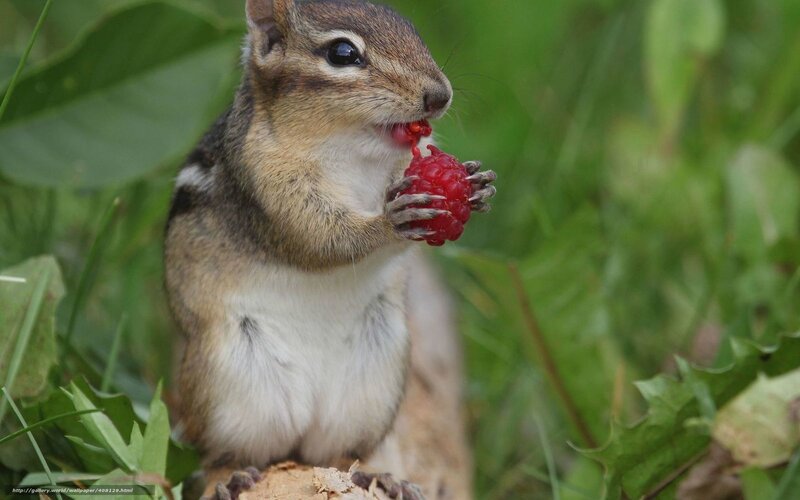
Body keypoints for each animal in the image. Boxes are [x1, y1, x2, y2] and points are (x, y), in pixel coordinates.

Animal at [164, 0, 496, 497]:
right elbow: (321, 239)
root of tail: (300, 435)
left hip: (373, 386)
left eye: (410, 28)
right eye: (343, 53)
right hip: (227, 386)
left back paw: (378, 474)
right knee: (221, 455)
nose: (440, 96)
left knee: (341, 453)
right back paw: (229, 477)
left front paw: (475, 185)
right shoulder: (268, 185)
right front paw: (391, 221)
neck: (352, 149)